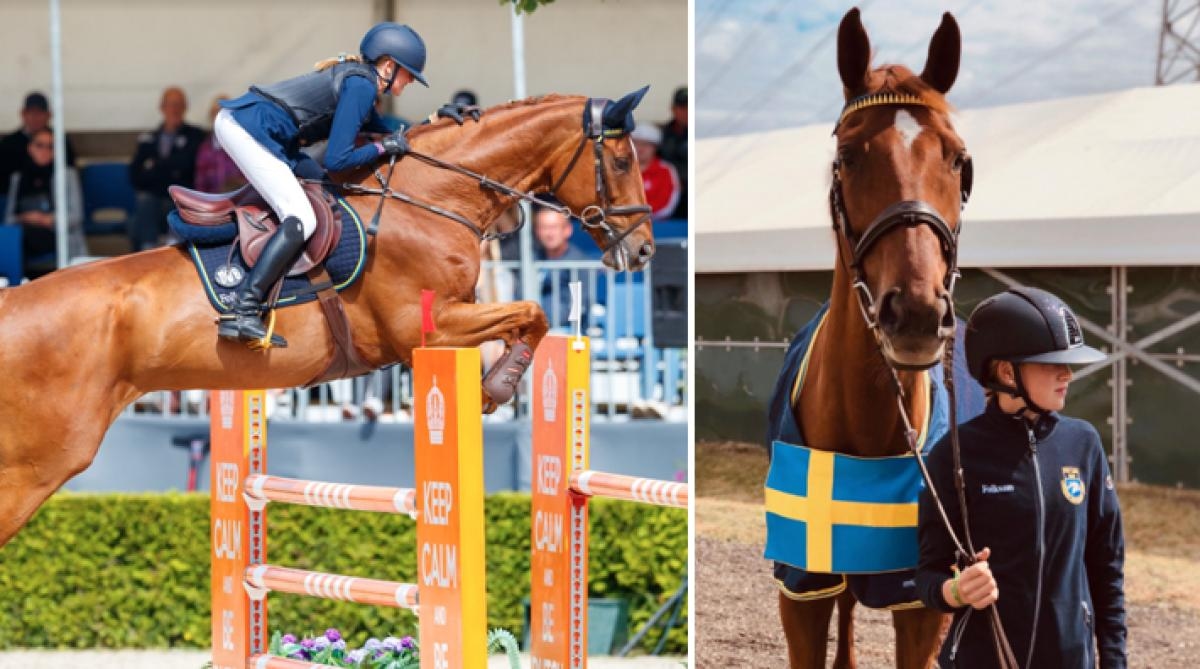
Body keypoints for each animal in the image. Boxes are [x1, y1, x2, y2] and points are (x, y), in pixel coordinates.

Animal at [0, 90, 657, 551]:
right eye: (624, 159)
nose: (645, 249)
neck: (432, 198)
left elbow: (527, 316)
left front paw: (495, 384)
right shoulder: (428, 327)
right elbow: (534, 313)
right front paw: (495, 388)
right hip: (37, 462)